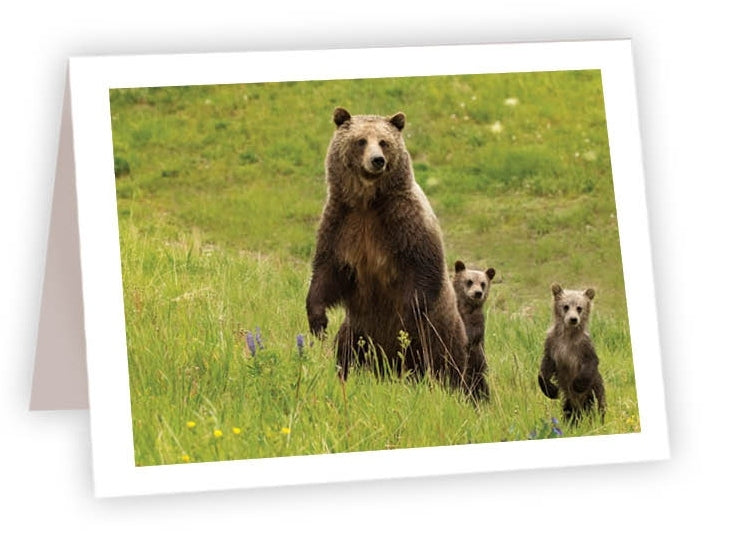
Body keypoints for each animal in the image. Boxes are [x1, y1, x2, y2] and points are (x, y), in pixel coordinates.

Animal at [306, 107, 487, 401]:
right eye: (361, 141)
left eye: (384, 141)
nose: (377, 160)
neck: (367, 203)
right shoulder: (341, 225)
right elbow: (327, 272)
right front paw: (318, 321)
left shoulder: (404, 223)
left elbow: (423, 272)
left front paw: (405, 317)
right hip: (357, 329)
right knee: (346, 352)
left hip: (442, 339)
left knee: (447, 369)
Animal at [452, 260, 497, 399]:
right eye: (469, 281)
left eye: (483, 283)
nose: (478, 293)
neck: (467, 309)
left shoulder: (477, 323)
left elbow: (471, 336)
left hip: (478, 371)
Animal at [538, 283, 606, 422]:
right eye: (566, 306)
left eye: (579, 308)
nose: (573, 319)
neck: (568, 337)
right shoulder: (552, 344)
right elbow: (545, 367)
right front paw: (552, 390)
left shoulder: (583, 346)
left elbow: (591, 362)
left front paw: (577, 384)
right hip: (569, 402)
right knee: (569, 412)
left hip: (594, 391)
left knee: (598, 406)